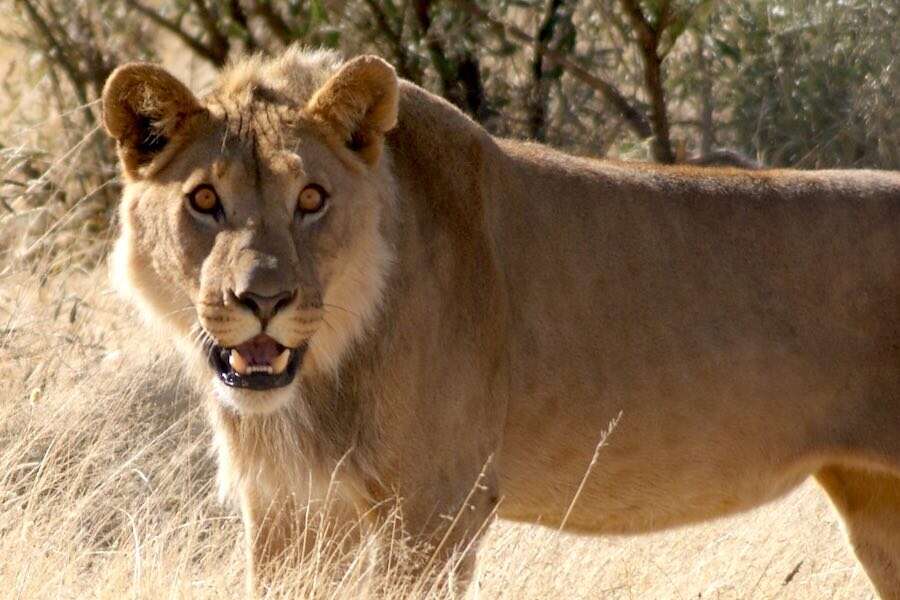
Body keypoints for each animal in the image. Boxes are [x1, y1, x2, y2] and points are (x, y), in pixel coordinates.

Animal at [101, 47, 900, 597]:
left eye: (312, 199)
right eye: (205, 200)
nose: (262, 299)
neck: (327, 372)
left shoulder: (435, 512)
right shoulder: (287, 513)